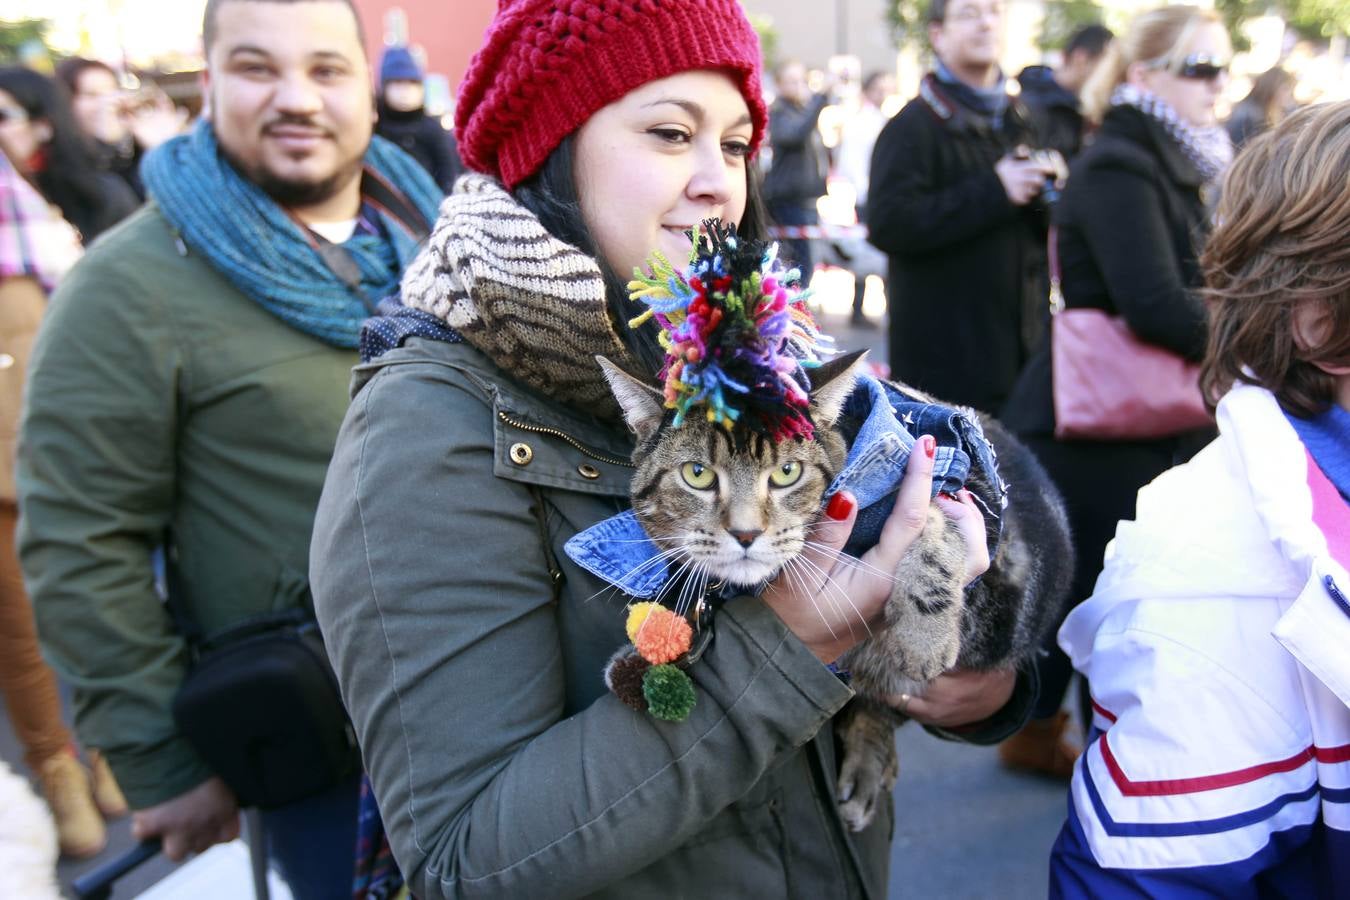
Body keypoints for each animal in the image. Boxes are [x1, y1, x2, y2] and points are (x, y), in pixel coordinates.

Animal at [602, 356, 1074, 836]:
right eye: (696, 475)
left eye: (787, 473)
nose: (746, 533)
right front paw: (646, 650)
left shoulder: (956, 497)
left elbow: (935, 522)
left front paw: (923, 638)